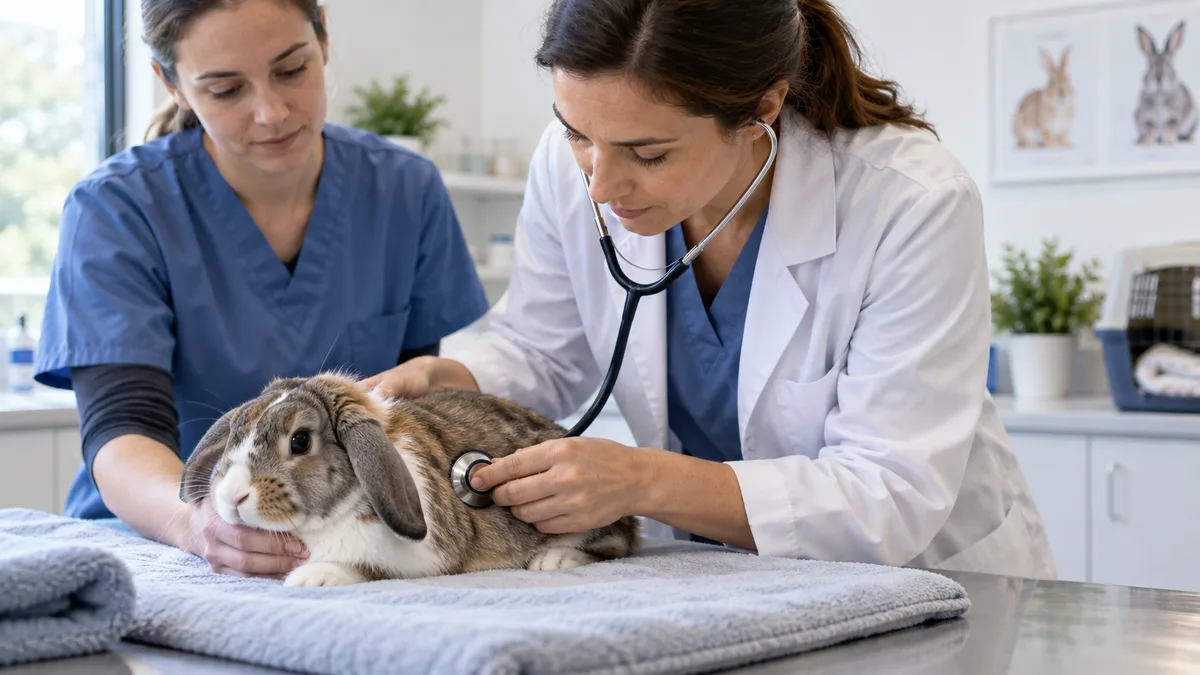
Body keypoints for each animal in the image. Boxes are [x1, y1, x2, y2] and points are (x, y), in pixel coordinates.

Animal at [180, 372, 641, 587]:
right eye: (236, 431)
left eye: (299, 441)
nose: (233, 497)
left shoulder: (423, 557)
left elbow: (368, 568)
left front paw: (314, 577)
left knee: (619, 542)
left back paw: (555, 559)